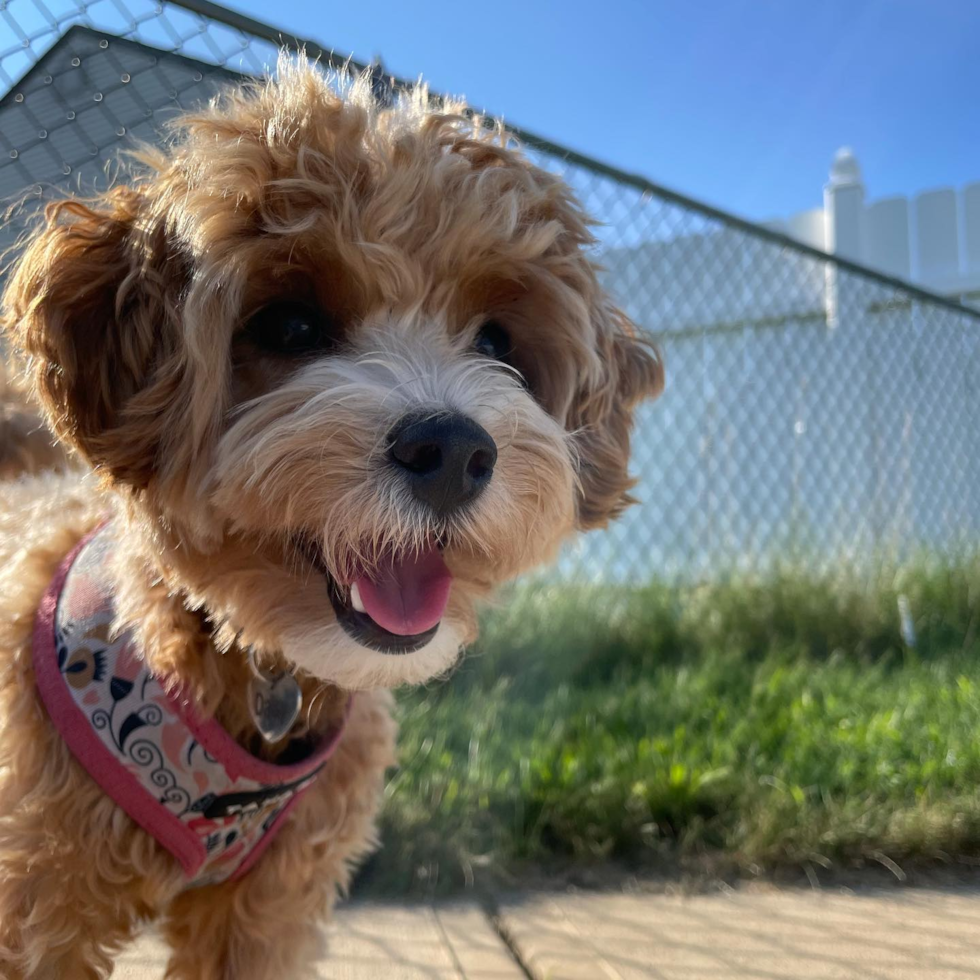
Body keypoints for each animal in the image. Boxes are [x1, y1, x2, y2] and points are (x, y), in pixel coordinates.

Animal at [0, 57, 668, 976]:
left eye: (497, 341)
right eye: (289, 323)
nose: (454, 450)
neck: (246, 663)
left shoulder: (269, 913)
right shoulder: (38, 903)